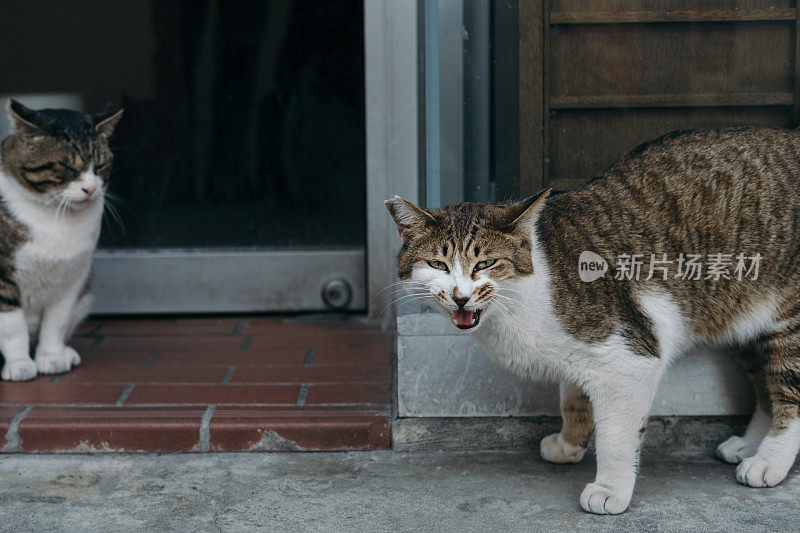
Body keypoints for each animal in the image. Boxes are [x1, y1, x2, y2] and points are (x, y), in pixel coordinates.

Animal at [0, 100, 123, 380]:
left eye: (99, 166)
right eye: (68, 167)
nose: (90, 188)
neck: (54, 217)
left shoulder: (73, 276)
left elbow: (57, 322)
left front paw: (52, 357)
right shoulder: (2, 277)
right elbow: (12, 326)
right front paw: (20, 364)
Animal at [384, 127, 800, 512]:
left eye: (485, 263)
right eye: (438, 264)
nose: (461, 296)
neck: (531, 290)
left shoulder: (628, 355)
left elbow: (615, 436)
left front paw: (610, 490)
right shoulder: (582, 355)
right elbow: (572, 398)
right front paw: (568, 444)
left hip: (789, 319)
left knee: (789, 394)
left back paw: (767, 462)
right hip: (742, 322)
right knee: (766, 387)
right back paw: (748, 445)